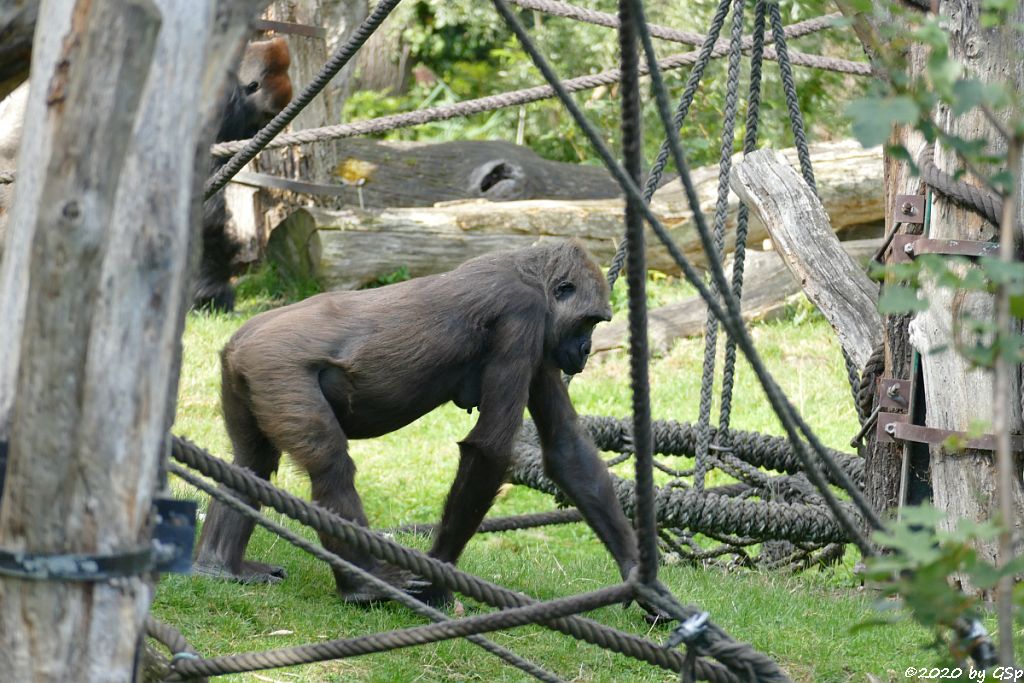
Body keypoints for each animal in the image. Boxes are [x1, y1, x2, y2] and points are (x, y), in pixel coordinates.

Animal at [196, 241, 643, 610]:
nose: (586, 351)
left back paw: (220, 566)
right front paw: (438, 583)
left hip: (243, 374)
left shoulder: (544, 343)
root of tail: (243, 339)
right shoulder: (524, 315)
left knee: (251, 462)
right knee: (329, 465)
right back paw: (363, 584)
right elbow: (489, 451)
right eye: (589, 322)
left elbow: (566, 446)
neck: (530, 273)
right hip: (276, 367)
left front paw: (638, 575)